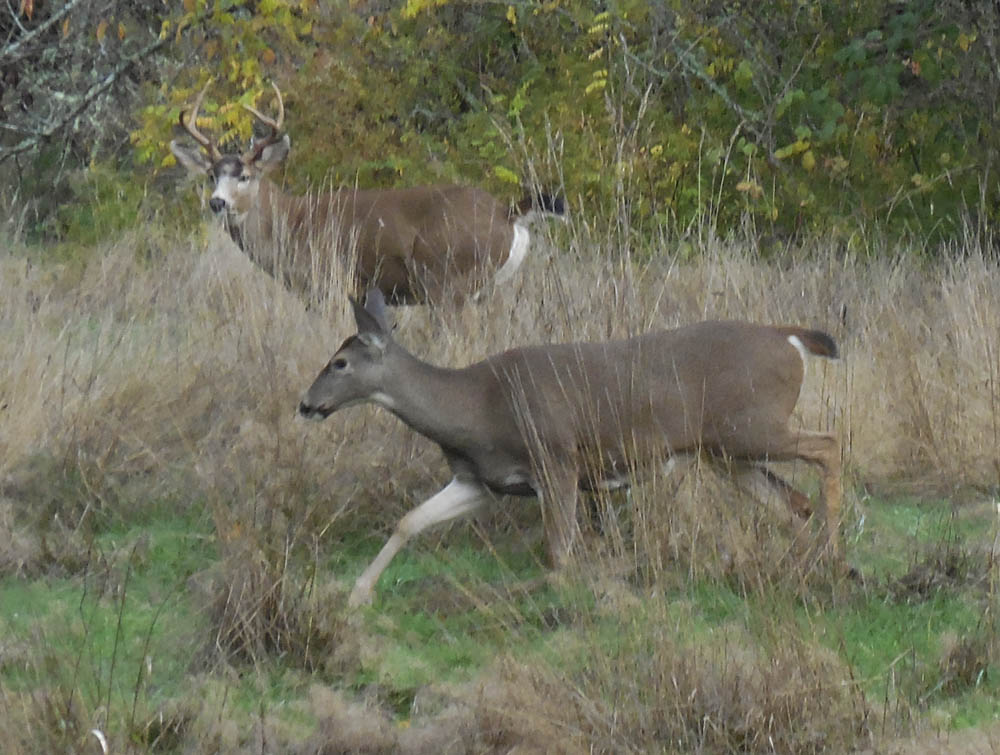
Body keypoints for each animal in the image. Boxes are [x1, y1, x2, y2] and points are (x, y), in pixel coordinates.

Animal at [169, 83, 565, 304]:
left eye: (246, 175)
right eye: (211, 176)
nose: (217, 202)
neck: (289, 223)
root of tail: (506, 212)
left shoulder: (329, 283)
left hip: (446, 280)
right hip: (483, 291)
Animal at [298, 290, 843, 607]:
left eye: (340, 363)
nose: (306, 404)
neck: (476, 409)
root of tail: (788, 337)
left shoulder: (556, 461)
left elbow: (559, 556)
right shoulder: (482, 481)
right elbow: (409, 521)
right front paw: (358, 594)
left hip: (751, 427)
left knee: (829, 446)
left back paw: (832, 547)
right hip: (726, 452)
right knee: (793, 501)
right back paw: (803, 565)